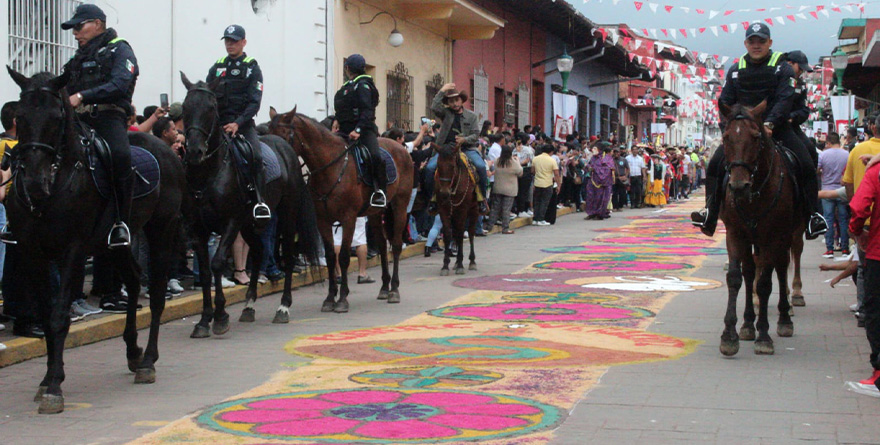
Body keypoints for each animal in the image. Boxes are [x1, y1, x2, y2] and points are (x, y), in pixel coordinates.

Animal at [5, 68, 186, 412]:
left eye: (56, 117)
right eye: (20, 117)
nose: (34, 183)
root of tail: (167, 150)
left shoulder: (73, 250)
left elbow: (59, 316)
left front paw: (54, 386)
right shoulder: (33, 252)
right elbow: (47, 316)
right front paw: (47, 378)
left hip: (163, 230)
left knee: (155, 294)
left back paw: (148, 361)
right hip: (115, 244)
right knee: (134, 280)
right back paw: (133, 351)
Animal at [179, 73, 320, 336]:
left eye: (211, 108)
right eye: (184, 107)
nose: (194, 151)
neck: (209, 172)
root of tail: (286, 148)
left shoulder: (230, 222)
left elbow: (217, 263)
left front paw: (220, 316)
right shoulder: (198, 229)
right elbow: (206, 272)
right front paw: (204, 320)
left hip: (285, 215)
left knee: (287, 255)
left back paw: (283, 307)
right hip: (250, 224)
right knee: (258, 251)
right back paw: (249, 305)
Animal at [266, 108, 414, 312]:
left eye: (282, 134)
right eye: (267, 133)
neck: (330, 168)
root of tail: (402, 148)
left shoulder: (348, 219)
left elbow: (343, 256)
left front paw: (342, 298)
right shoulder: (323, 221)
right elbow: (330, 257)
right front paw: (330, 298)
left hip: (400, 204)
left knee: (397, 245)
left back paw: (394, 289)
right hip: (375, 213)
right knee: (383, 246)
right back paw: (384, 287)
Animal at [430, 142, 478, 274]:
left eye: (452, 167)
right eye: (438, 166)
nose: (444, 193)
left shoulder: (462, 210)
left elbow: (461, 234)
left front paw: (461, 264)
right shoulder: (443, 210)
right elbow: (448, 234)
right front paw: (445, 265)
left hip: (474, 210)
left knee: (471, 232)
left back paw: (472, 261)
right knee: (456, 232)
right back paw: (456, 263)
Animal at [716, 99, 804, 354]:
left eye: (756, 137)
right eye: (726, 137)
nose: (738, 186)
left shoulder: (772, 236)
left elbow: (765, 283)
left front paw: (764, 336)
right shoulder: (736, 234)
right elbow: (736, 278)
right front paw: (730, 335)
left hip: (789, 233)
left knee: (783, 266)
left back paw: (786, 315)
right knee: (750, 272)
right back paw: (747, 323)